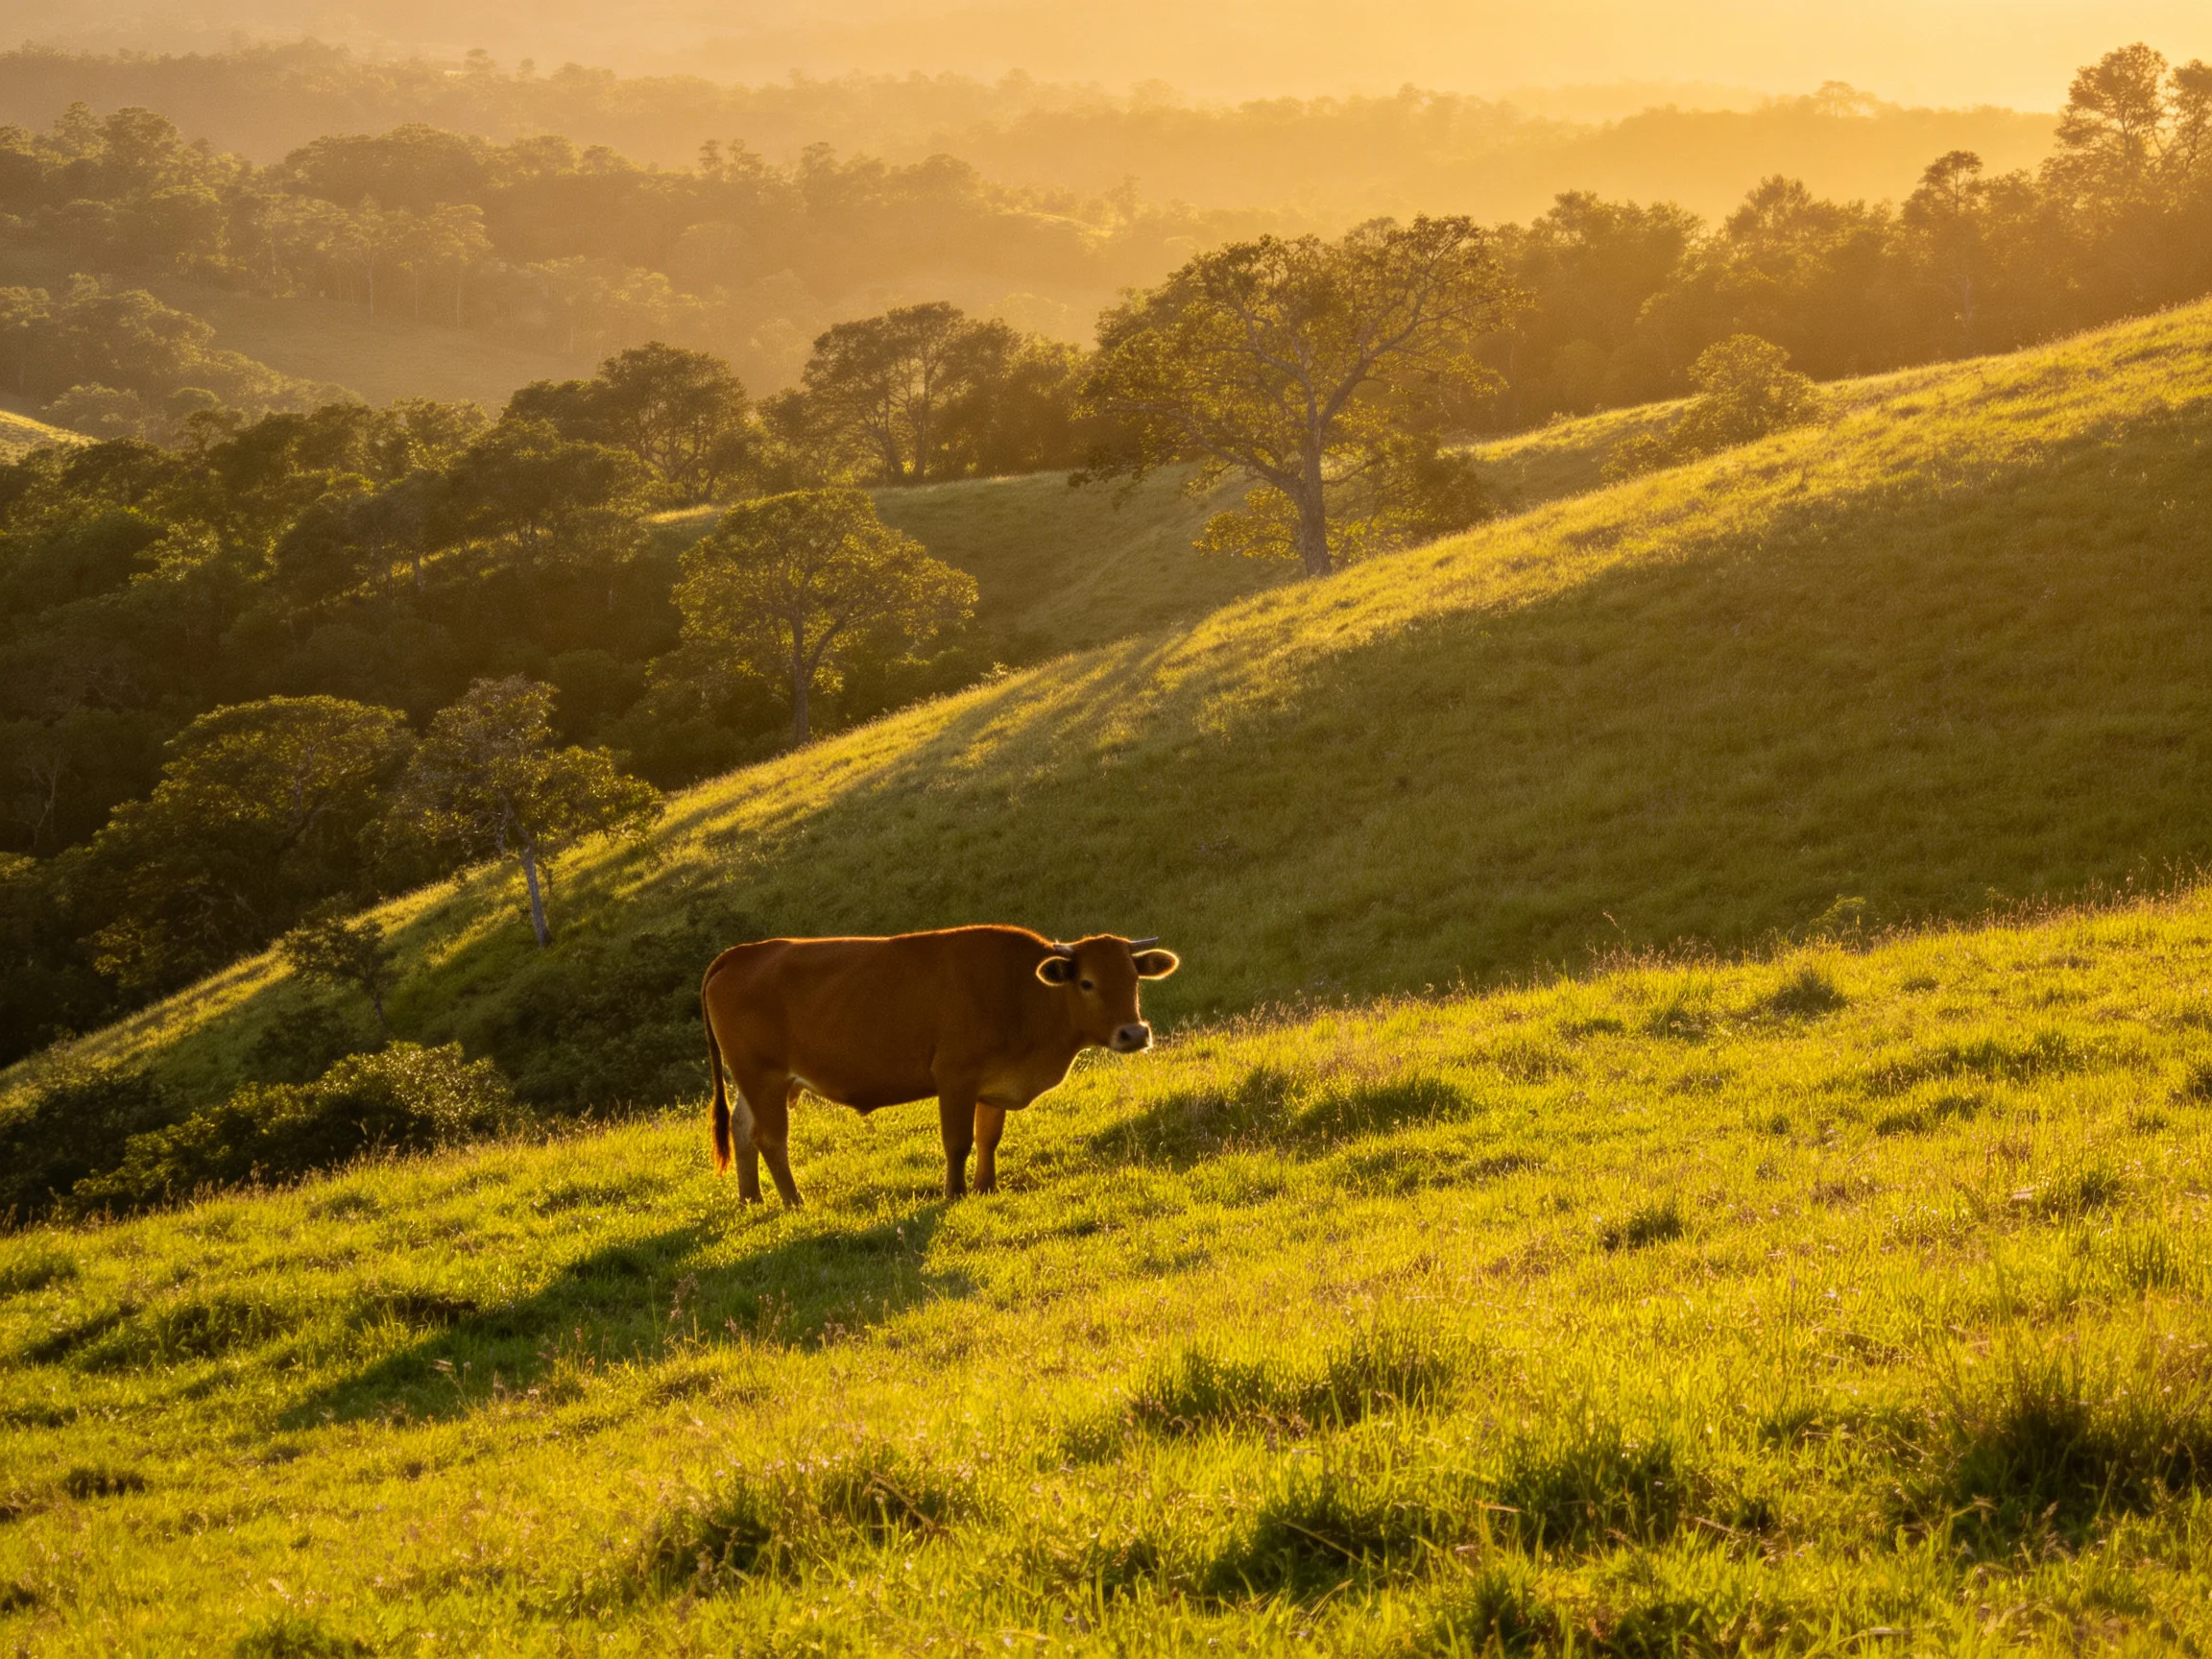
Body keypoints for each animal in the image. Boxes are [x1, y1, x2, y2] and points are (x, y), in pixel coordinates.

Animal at [700, 926, 1180, 1205]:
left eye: (1134, 979)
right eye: (1086, 982)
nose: (1134, 1034)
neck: (1021, 990)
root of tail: (741, 954)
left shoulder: (994, 1084)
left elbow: (988, 1138)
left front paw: (987, 1188)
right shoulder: (954, 1078)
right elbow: (958, 1142)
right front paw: (955, 1192)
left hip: (757, 1083)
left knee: (742, 1129)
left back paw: (751, 1199)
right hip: (763, 1077)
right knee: (770, 1138)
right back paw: (794, 1201)